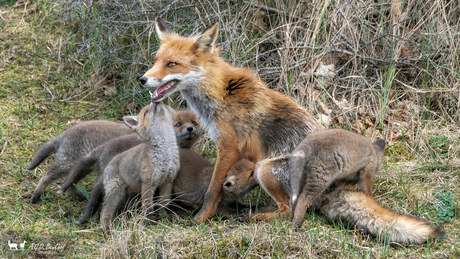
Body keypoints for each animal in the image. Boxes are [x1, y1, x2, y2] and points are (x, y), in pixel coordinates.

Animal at [140, 17, 324, 223]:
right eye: (156, 61)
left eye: (172, 64)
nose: (142, 79)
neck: (220, 94)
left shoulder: (229, 147)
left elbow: (213, 188)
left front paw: (201, 217)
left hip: (264, 168)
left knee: (288, 210)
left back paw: (252, 216)